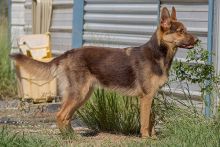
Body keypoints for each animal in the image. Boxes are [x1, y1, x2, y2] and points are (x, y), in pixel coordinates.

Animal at [10, 6, 198, 138]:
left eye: (186, 30)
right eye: (181, 31)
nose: (197, 40)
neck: (158, 53)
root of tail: (68, 53)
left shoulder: (151, 97)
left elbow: (151, 120)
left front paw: (153, 138)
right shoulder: (146, 97)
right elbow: (145, 121)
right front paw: (146, 138)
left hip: (84, 94)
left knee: (66, 116)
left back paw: (72, 136)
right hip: (79, 93)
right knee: (60, 115)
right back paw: (69, 139)